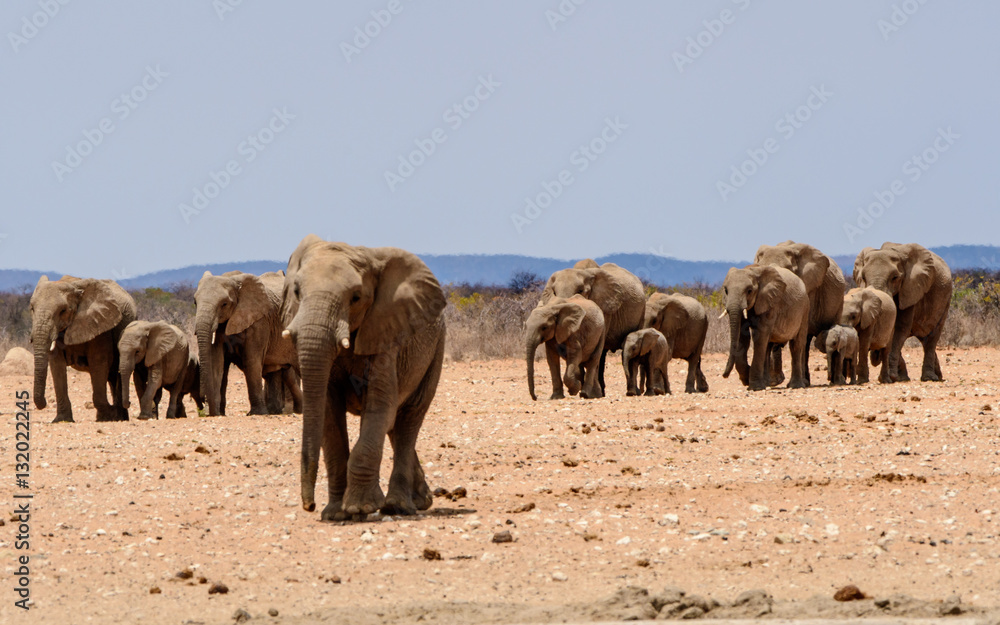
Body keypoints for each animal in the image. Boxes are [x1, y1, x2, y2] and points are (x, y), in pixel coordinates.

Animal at [30, 276, 136, 422]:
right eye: (32, 308)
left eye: (63, 311)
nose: (44, 403)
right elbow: (57, 365)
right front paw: (62, 420)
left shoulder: (100, 326)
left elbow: (99, 362)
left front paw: (108, 416)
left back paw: (118, 417)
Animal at [194, 270, 302, 416]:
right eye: (195, 302)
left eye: (224, 304)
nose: (202, 407)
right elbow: (217, 361)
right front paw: (215, 414)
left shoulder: (260, 321)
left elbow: (252, 360)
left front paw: (257, 413)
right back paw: (276, 411)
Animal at [280, 235, 447, 521]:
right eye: (297, 292)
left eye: (356, 297)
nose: (308, 505)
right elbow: (329, 415)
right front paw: (335, 514)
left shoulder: (386, 334)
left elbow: (380, 406)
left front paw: (360, 508)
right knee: (393, 425)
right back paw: (420, 501)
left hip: (436, 348)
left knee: (409, 418)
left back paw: (398, 506)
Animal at [853, 243, 952, 382]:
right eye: (863, 278)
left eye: (895, 277)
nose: (875, 354)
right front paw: (899, 377)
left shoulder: (911, 289)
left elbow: (900, 328)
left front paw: (892, 376)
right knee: (924, 339)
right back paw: (936, 376)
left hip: (946, 300)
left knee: (932, 337)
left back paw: (930, 378)